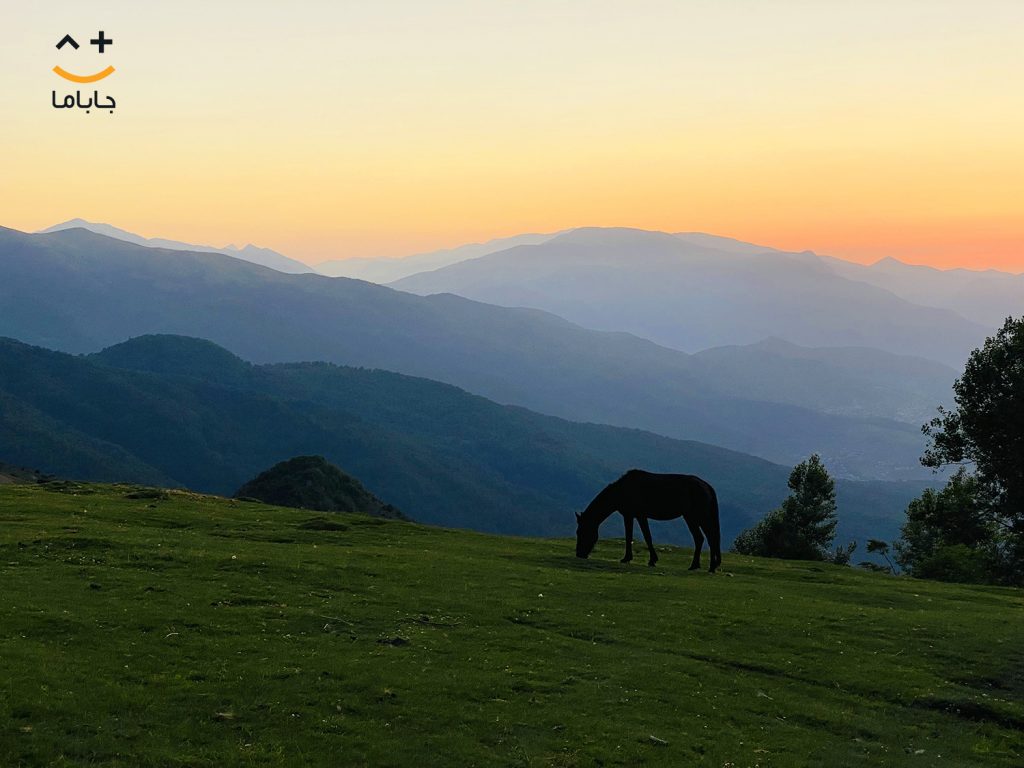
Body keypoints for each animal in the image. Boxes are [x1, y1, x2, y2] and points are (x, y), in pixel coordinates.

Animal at [573, 468, 724, 573]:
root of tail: (707, 486)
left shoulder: (634, 515)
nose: (579, 554)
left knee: (708, 538)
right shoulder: (635, 516)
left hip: (697, 517)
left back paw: (708, 567)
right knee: (703, 538)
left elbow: (641, 537)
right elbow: (637, 537)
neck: (622, 490)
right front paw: (643, 559)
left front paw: (635, 559)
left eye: (581, 532)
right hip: (693, 517)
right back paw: (698, 565)